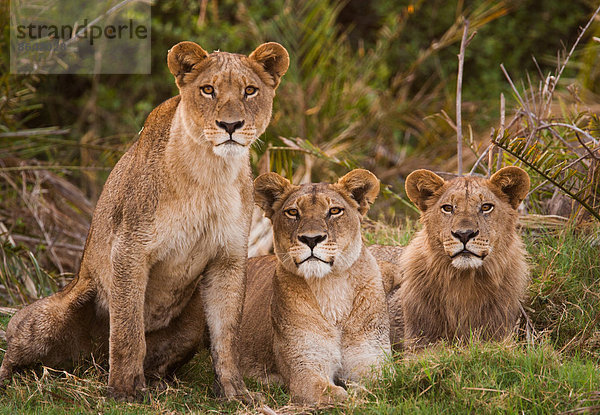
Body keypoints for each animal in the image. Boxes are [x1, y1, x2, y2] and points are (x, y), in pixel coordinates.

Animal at [0, 41, 290, 400]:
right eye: (208, 90)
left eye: (250, 91)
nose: (231, 125)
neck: (211, 170)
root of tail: (92, 362)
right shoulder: (130, 248)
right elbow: (128, 328)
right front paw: (124, 390)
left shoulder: (229, 258)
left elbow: (227, 336)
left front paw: (235, 392)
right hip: (52, 313)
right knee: (18, 341)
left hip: (191, 326)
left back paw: (156, 382)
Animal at [239, 169, 394, 406]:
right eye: (293, 212)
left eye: (334, 211)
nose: (311, 239)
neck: (330, 286)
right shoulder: (305, 367)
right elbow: (339, 395)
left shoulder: (372, 358)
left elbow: (379, 384)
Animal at [376, 167, 528, 348]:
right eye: (448, 208)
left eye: (486, 207)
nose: (464, 234)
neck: (465, 281)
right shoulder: (419, 342)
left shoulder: (501, 338)